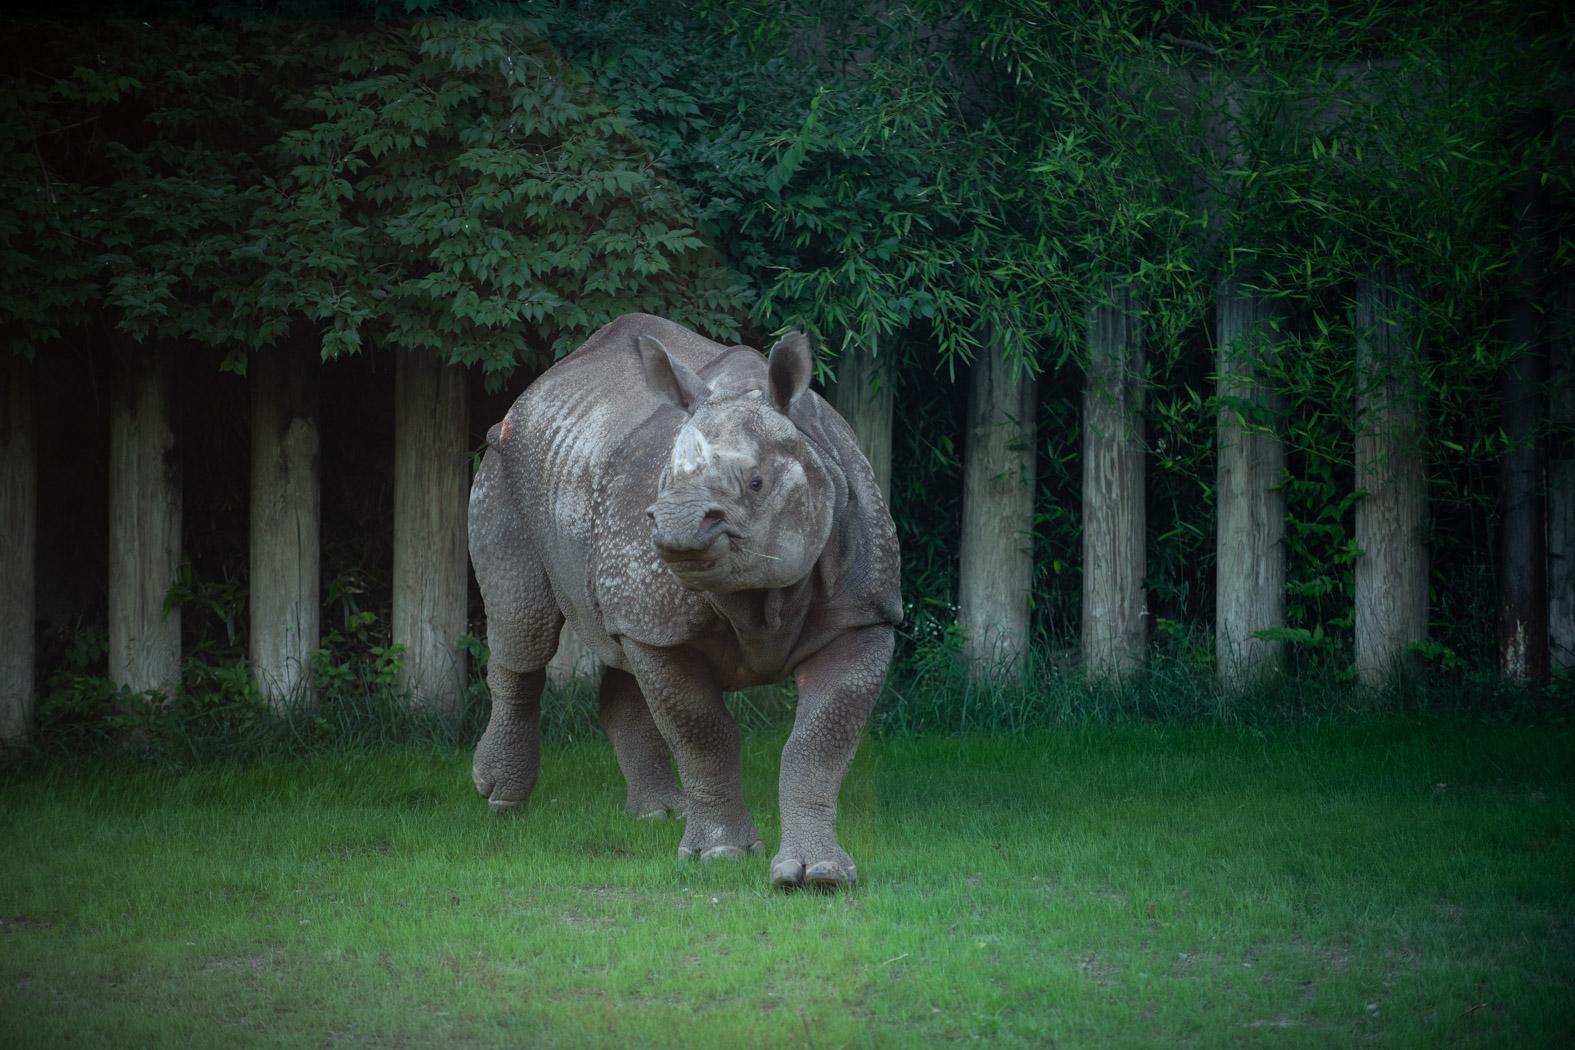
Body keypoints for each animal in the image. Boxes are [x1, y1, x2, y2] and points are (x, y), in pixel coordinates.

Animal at [469, 314, 902, 889]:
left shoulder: (864, 615)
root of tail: (537, 388)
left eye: (757, 484)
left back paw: (658, 814)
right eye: (665, 483)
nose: (674, 524)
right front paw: (721, 855)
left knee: (618, 648)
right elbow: (702, 734)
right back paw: (501, 800)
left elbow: (818, 744)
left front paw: (819, 874)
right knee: (525, 631)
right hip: (504, 463)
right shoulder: (661, 622)